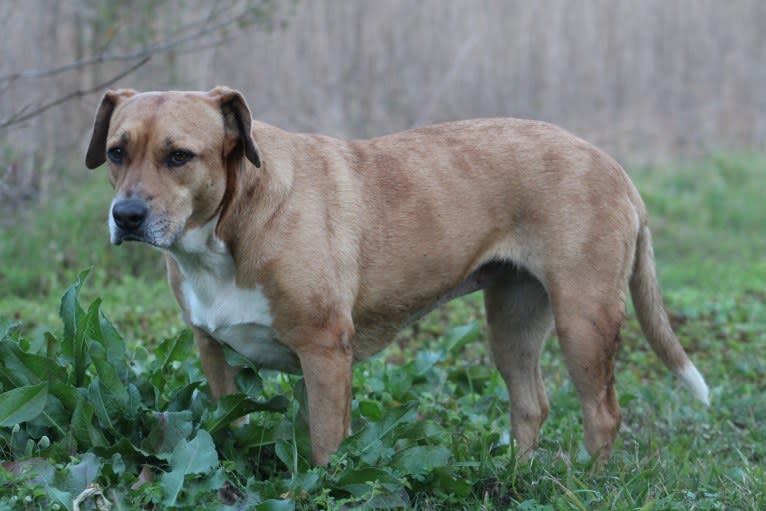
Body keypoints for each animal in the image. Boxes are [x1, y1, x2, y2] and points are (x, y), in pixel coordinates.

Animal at [85, 89, 708, 468]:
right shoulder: (215, 353)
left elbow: (326, 446)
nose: (127, 216)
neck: (230, 225)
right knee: (531, 403)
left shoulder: (324, 352)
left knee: (602, 414)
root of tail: (615, 168)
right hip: (512, 320)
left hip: (584, 319)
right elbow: (231, 422)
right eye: (116, 152)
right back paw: (516, 475)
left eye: (179, 156)